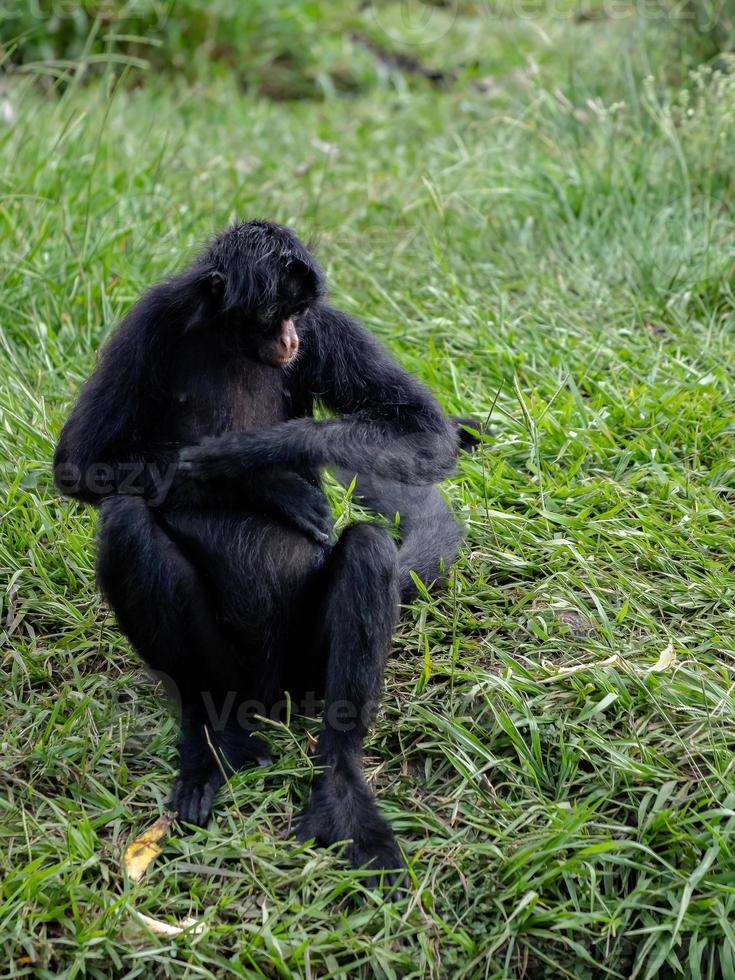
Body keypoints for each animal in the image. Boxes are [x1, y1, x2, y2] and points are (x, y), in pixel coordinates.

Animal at [54, 222, 480, 888]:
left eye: (299, 313)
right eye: (272, 313)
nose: (291, 339)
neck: (232, 344)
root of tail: (265, 691)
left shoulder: (326, 328)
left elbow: (426, 433)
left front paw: (252, 457)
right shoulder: (153, 317)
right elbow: (79, 461)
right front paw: (262, 481)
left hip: (304, 669)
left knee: (367, 547)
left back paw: (339, 787)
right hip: (226, 667)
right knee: (125, 518)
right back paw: (213, 740)